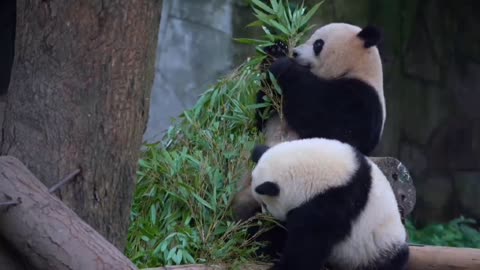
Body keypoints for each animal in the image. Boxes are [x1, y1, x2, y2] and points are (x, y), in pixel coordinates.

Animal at [256, 22, 384, 154]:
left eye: (318, 43)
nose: (295, 53)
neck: (356, 68)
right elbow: (261, 114)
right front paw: (275, 51)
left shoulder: (363, 100)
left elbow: (331, 124)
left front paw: (283, 64)